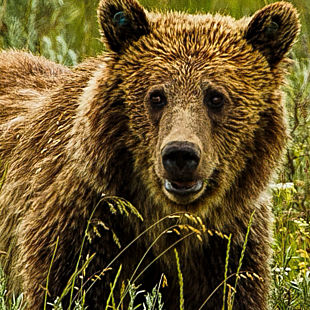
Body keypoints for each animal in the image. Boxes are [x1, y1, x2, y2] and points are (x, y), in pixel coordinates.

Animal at [0, 0, 300, 308]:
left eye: (216, 97)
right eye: (156, 96)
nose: (180, 154)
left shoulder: (228, 246)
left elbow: (232, 291)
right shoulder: (85, 229)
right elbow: (68, 289)